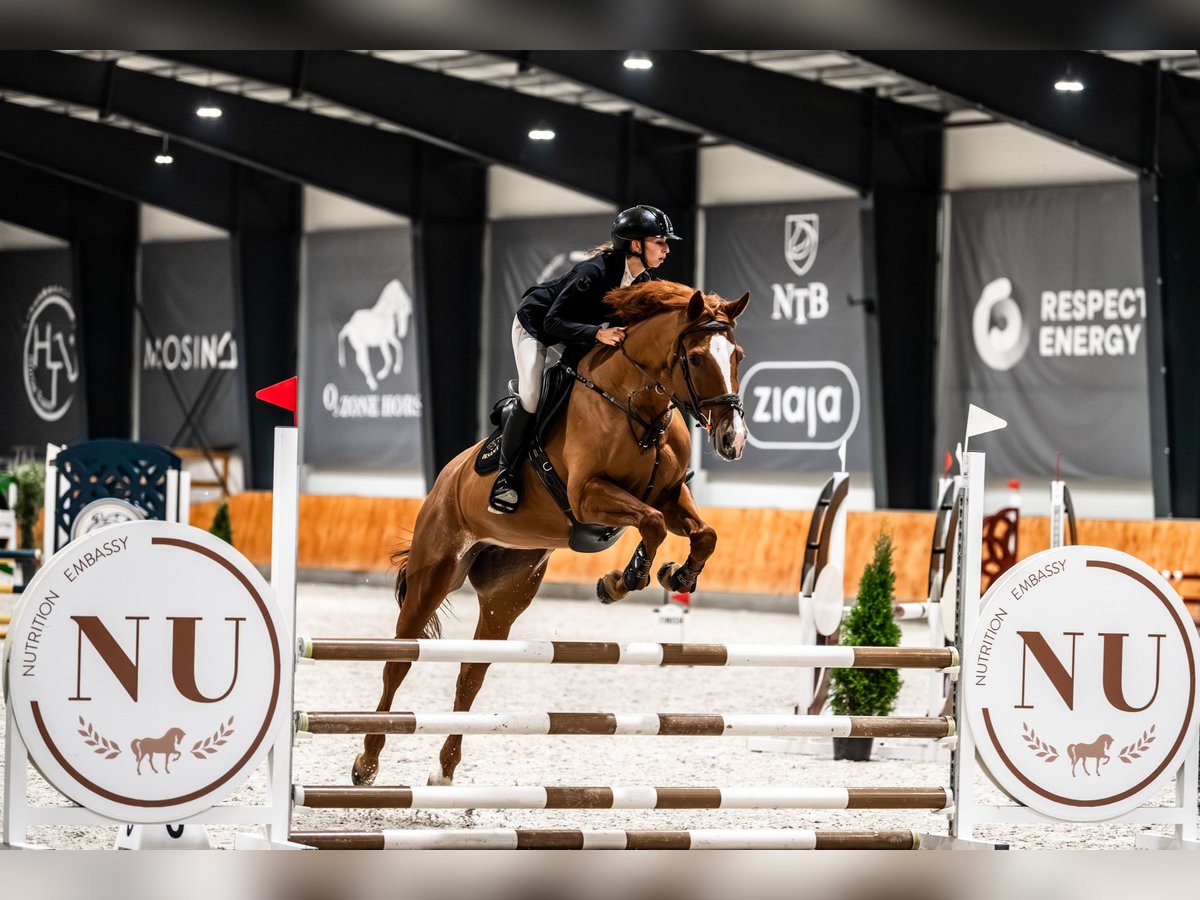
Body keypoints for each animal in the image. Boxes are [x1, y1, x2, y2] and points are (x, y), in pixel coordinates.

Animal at [352, 281, 750, 787]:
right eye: (697, 358)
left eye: (737, 354)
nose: (733, 440)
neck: (635, 404)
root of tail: (445, 478)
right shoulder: (587, 496)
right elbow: (652, 525)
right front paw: (627, 578)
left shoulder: (669, 494)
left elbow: (704, 534)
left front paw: (673, 577)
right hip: (433, 572)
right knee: (399, 660)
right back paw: (366, 763)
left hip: (507, 593)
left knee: (471, 673)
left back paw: (444, 770)